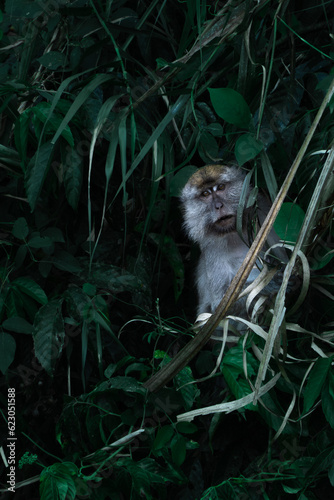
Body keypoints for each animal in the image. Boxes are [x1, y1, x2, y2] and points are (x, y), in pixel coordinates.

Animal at [180, 165, 284, 320]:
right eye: (205, 194)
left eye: (221, 187)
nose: (218, 206)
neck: (233, 232)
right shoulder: (212, 247)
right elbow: (220, 306)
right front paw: (272, 282)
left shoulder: (263, 211)